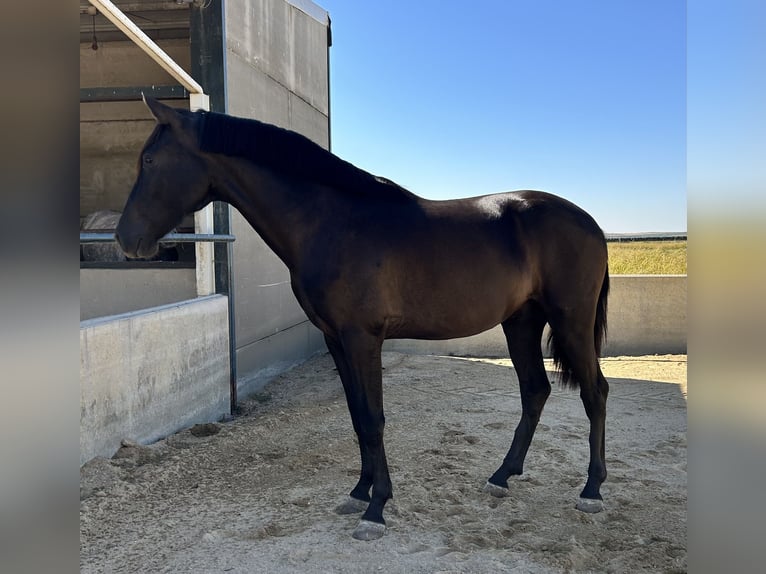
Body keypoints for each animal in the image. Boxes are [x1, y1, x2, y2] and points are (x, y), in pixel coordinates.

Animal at [116, 98, 610, 541]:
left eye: (150, 159)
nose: (124, 238)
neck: (332, 222)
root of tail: (589, 222)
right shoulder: (335, 339)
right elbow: (356, 417)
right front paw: (358, 492)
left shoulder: (362, 338)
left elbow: (373, 419)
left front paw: (376, 509)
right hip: (521, 322)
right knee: (535, 391)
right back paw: (503, 475)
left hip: (571, 320)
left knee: (595, 392)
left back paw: (591, 490)